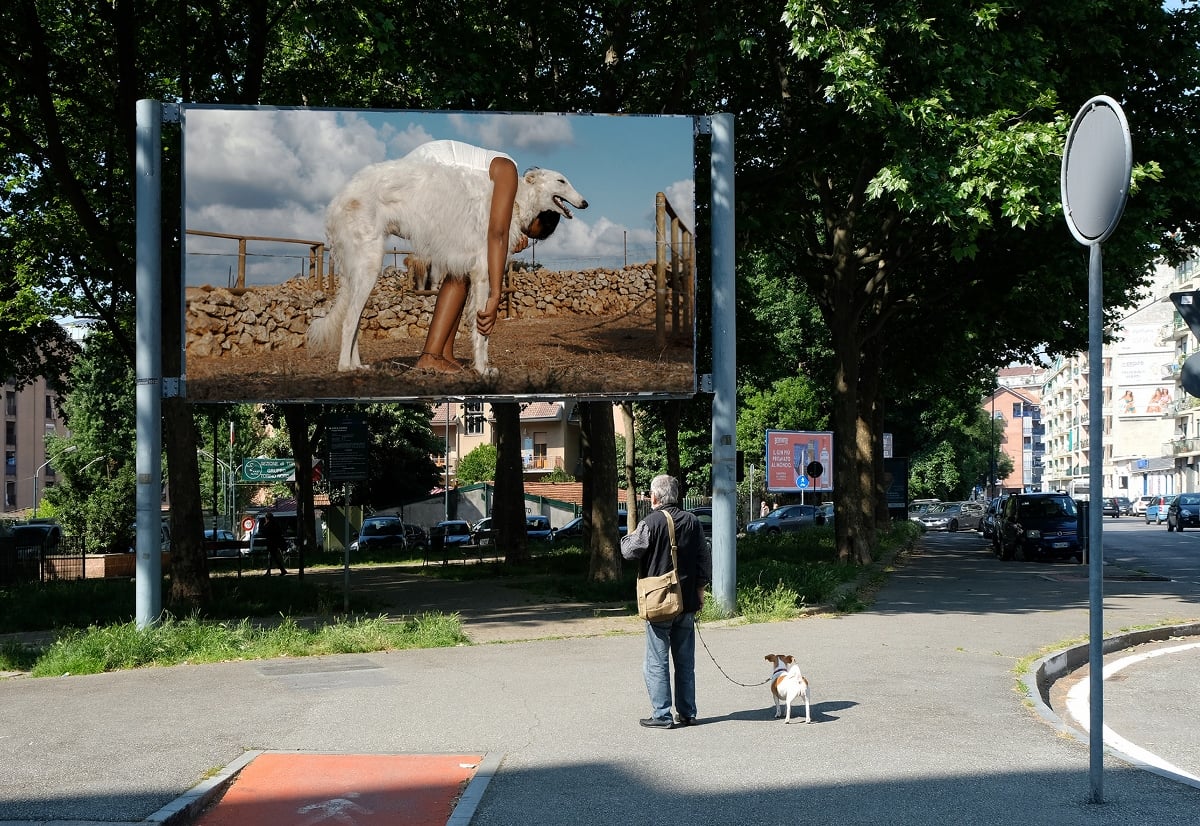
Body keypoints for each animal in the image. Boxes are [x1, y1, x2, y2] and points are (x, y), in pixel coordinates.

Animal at [309, 156, 590, 374]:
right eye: (561, 181)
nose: (585, 203)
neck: (519, 197)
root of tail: (338, 199)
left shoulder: (469, 269)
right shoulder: (484, 271)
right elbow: (483, 332)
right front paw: (482, 369)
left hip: (362, 272)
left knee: (354, 322)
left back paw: (358, 365)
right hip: (368, 267)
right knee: (349, 322)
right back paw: (345, 368)